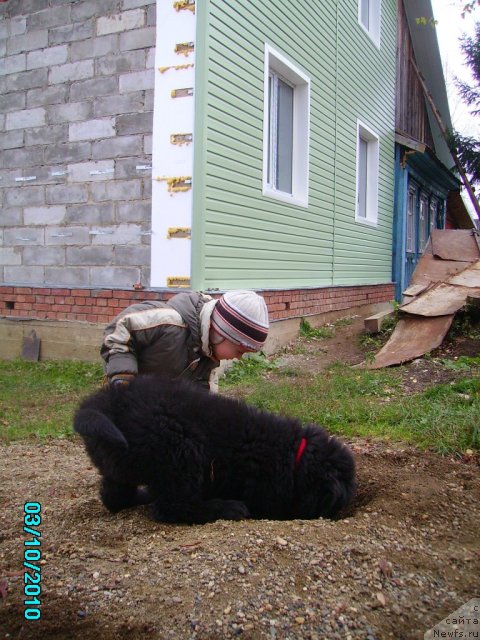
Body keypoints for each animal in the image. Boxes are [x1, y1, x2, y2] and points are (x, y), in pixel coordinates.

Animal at [73, 378, 354, 524]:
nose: (336, 516)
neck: (295, 457)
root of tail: (111, 403)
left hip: (119, 465)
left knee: (114, 496)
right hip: (183, 451)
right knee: (171, 507)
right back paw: (227, 508)